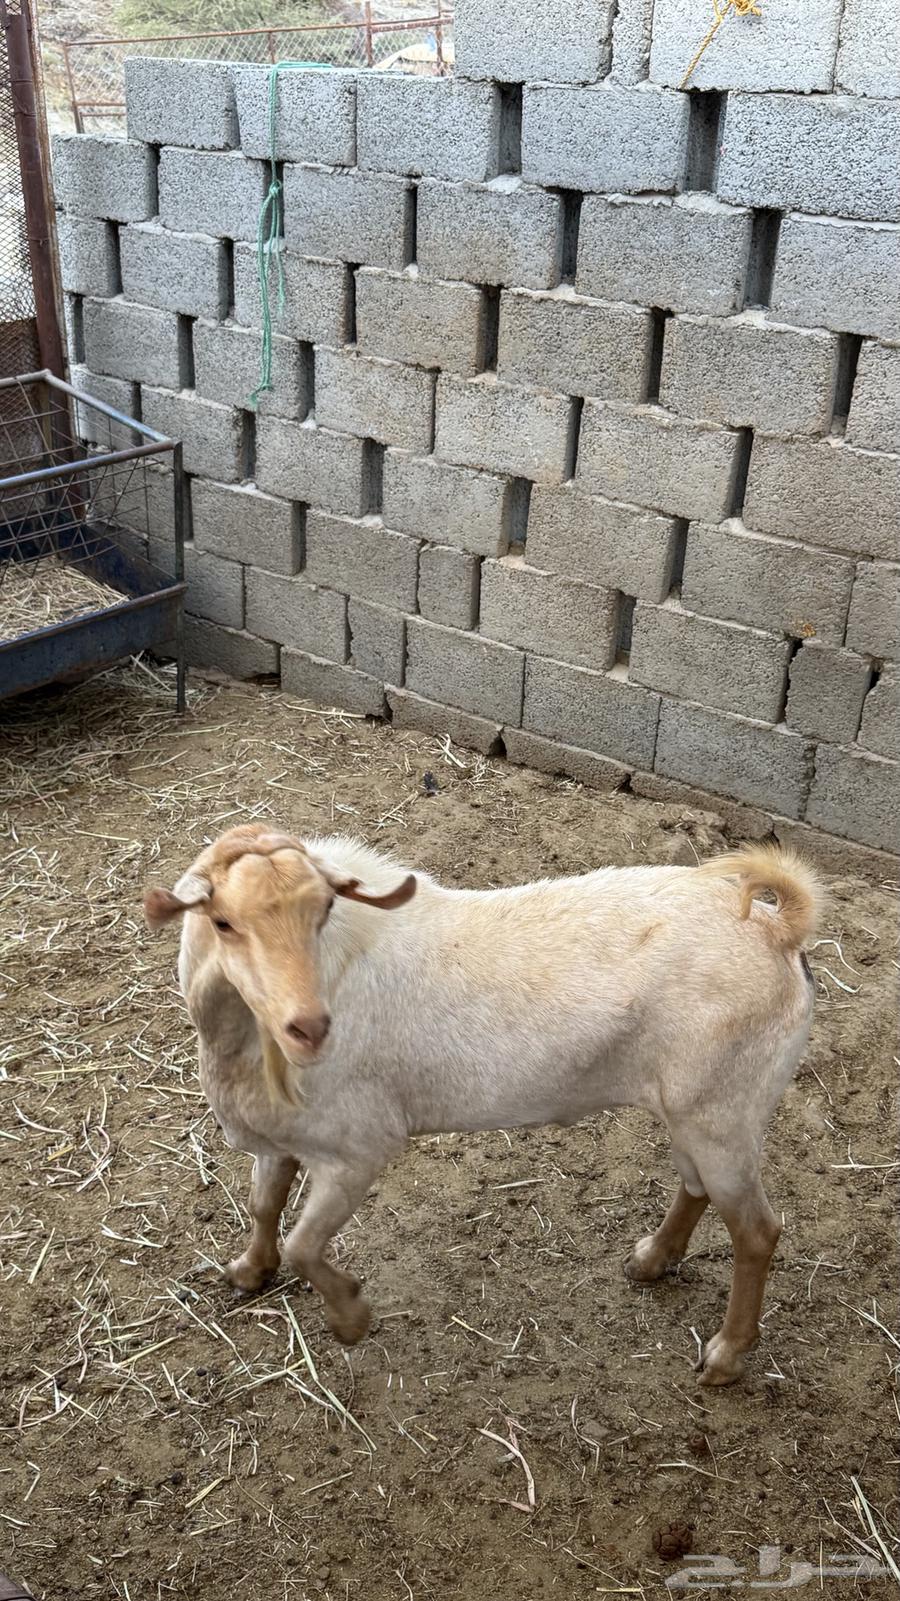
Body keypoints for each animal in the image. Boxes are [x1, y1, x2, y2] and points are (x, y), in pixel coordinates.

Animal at [145, 825, 821, 1386]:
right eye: (223, 922)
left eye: (325, 910)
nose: (308, 1028)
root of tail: (778, 929)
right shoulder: (280, 1137)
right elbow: (264, 1207)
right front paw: (248, 1272)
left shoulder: (357, 1148)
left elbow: (305, 1244)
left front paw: (351, 1318)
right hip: (696, 1106)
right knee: (697, 1186)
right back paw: (652, 1260)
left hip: (725, 1108)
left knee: (757, 1231)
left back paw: (726, 1356)